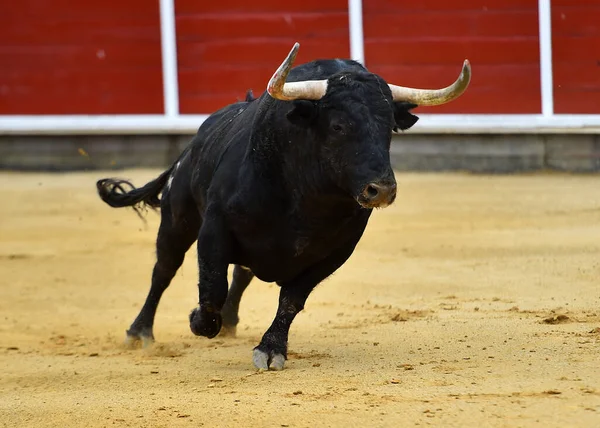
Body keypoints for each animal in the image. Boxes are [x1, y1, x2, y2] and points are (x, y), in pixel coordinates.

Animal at [97, 44, 468, 372]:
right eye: (338, 125)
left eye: (389, 127)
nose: (382, 190)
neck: (307, 201)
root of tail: (192, 145)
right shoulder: (214, 227)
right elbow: (212, 287)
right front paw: (198, 321)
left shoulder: (336, 252)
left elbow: (291, 299)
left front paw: (271, 348)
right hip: (178, 219)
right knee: (164, 270)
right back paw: (140, 333)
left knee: (241, 272)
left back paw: (228, 322)